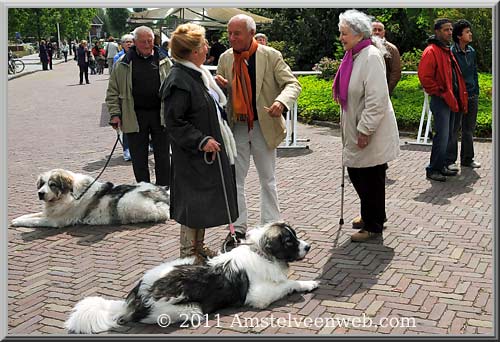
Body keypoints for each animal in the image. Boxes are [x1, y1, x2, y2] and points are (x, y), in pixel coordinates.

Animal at [9, 168, 169, 227]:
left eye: (52, 184)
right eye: (42, 184)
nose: (40, 193)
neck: (68, 195)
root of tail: (160, 192)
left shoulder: (54, 221)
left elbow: (35, 220)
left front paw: (17, 223)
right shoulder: (50, 213)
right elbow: (33, 214)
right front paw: (18, 218)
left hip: (128, 205)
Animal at [64, 222, 318, 334]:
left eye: (295, 236)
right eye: (289, 241)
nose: (308, 247)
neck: (261, 253)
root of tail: (135, 296)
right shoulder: (259, 296)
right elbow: (287, 284)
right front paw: (308, 283)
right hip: (192, 310)